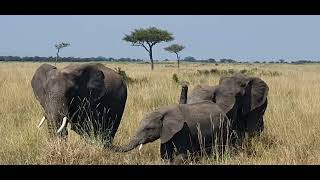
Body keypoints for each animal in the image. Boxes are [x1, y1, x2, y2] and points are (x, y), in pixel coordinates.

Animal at [111, 101, 239, 165]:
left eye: (148, 129)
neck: (163, 111)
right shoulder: (167, 132)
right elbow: (165, 154)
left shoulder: (183, 130)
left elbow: (183, 154)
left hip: (222, 128)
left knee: (220, 147)